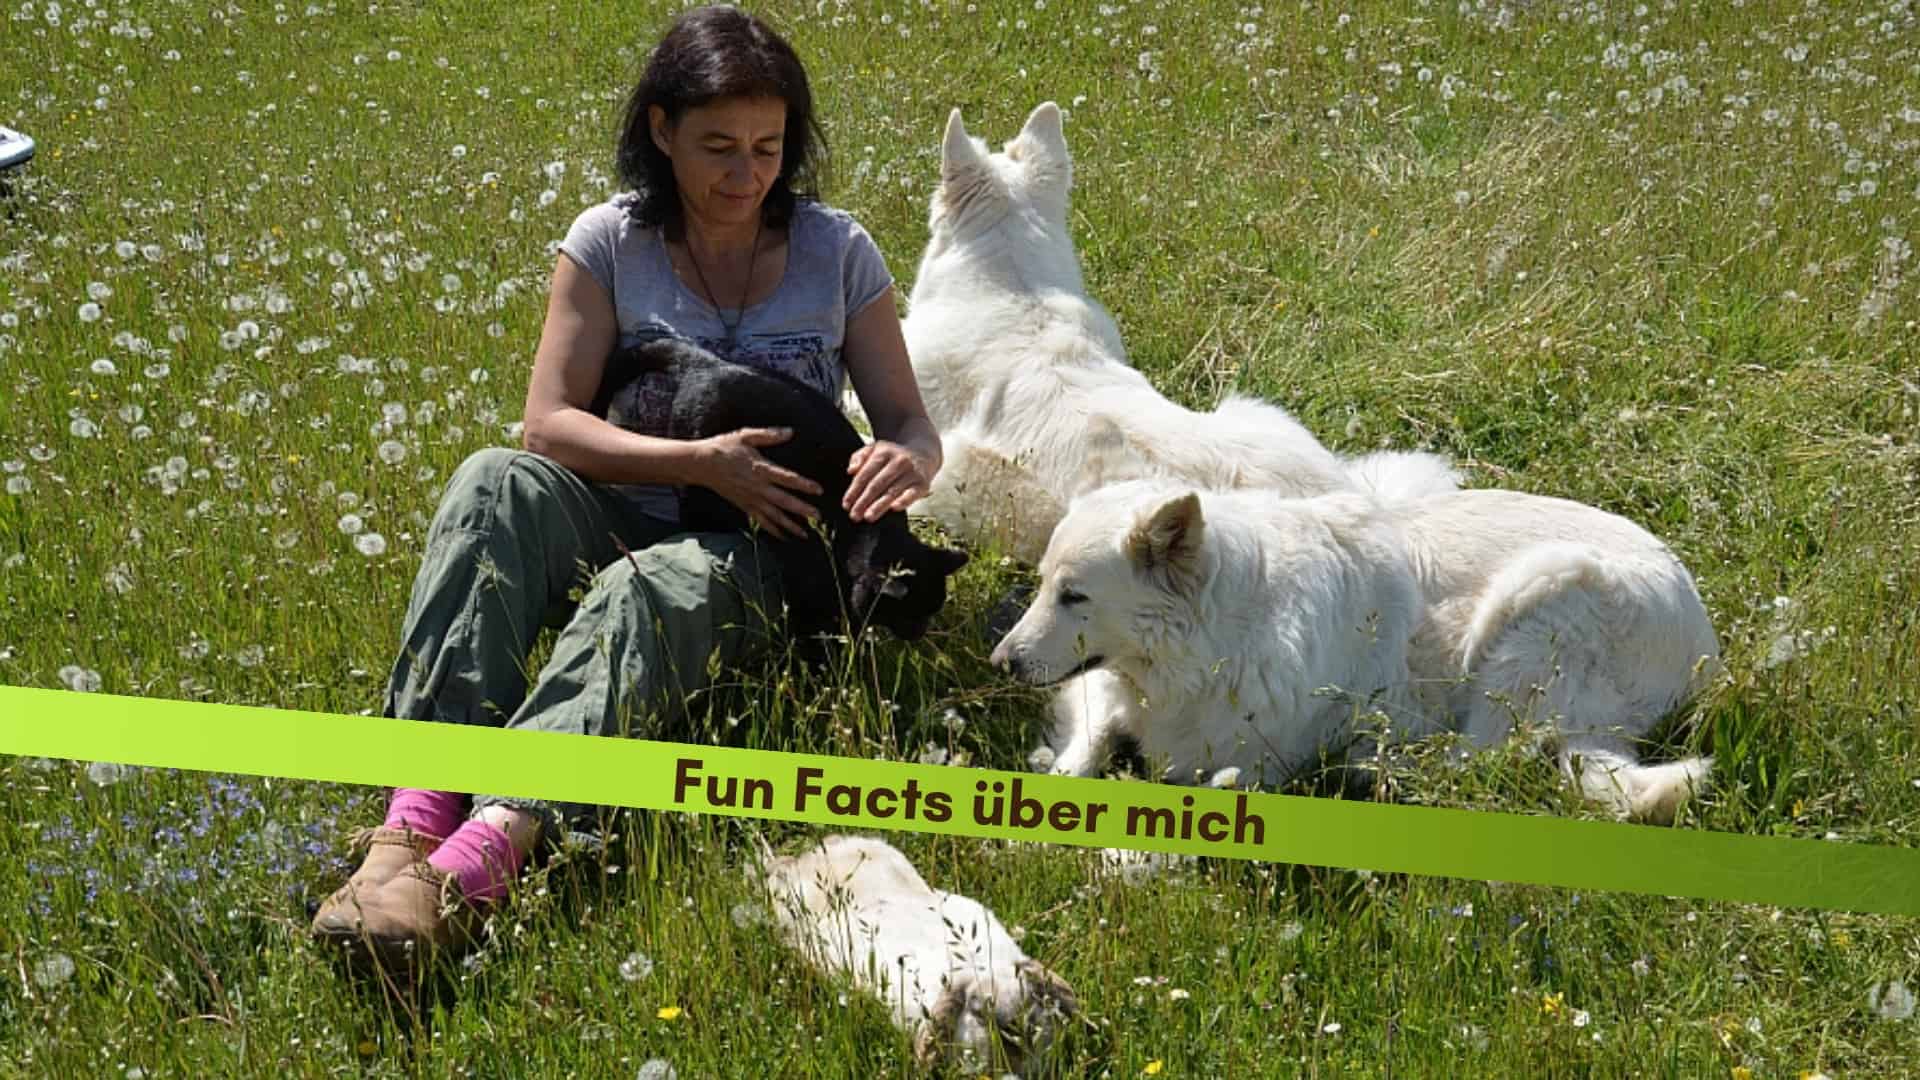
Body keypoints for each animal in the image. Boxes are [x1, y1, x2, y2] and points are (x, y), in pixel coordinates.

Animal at [591, 336, 967, 638]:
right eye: (909, 613)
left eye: (931, 610)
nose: (919, 634)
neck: (863, 528)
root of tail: (706, 361)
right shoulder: (811, 579)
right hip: (697, 471)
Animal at [990, 480, 1728, 822]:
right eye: (1043, 588)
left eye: (1075, 596)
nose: (1002, 663)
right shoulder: (1098, 685)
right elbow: (1087, 744)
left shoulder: (1253, 758)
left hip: (1536, 602)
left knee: (1480, 757)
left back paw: (1368, 764)